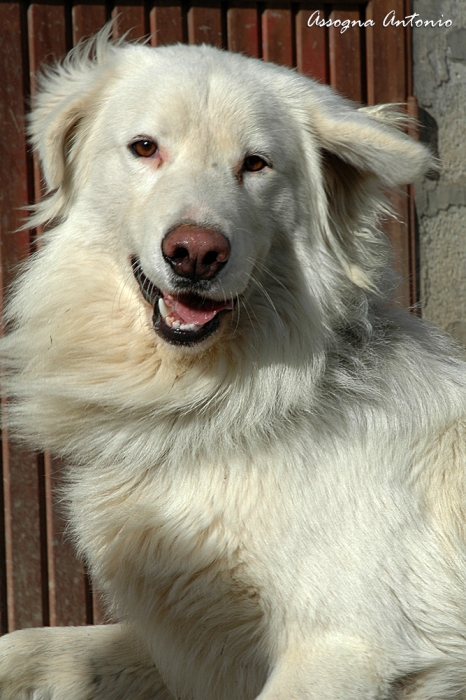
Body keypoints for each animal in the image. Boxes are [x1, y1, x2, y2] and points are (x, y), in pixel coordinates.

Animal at [0, 27, 466, 700]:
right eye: (145, 148)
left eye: (256, 163)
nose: (196, 253)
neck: (219, 409)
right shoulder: (195, 649)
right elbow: (24, 645)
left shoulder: (344, 647)